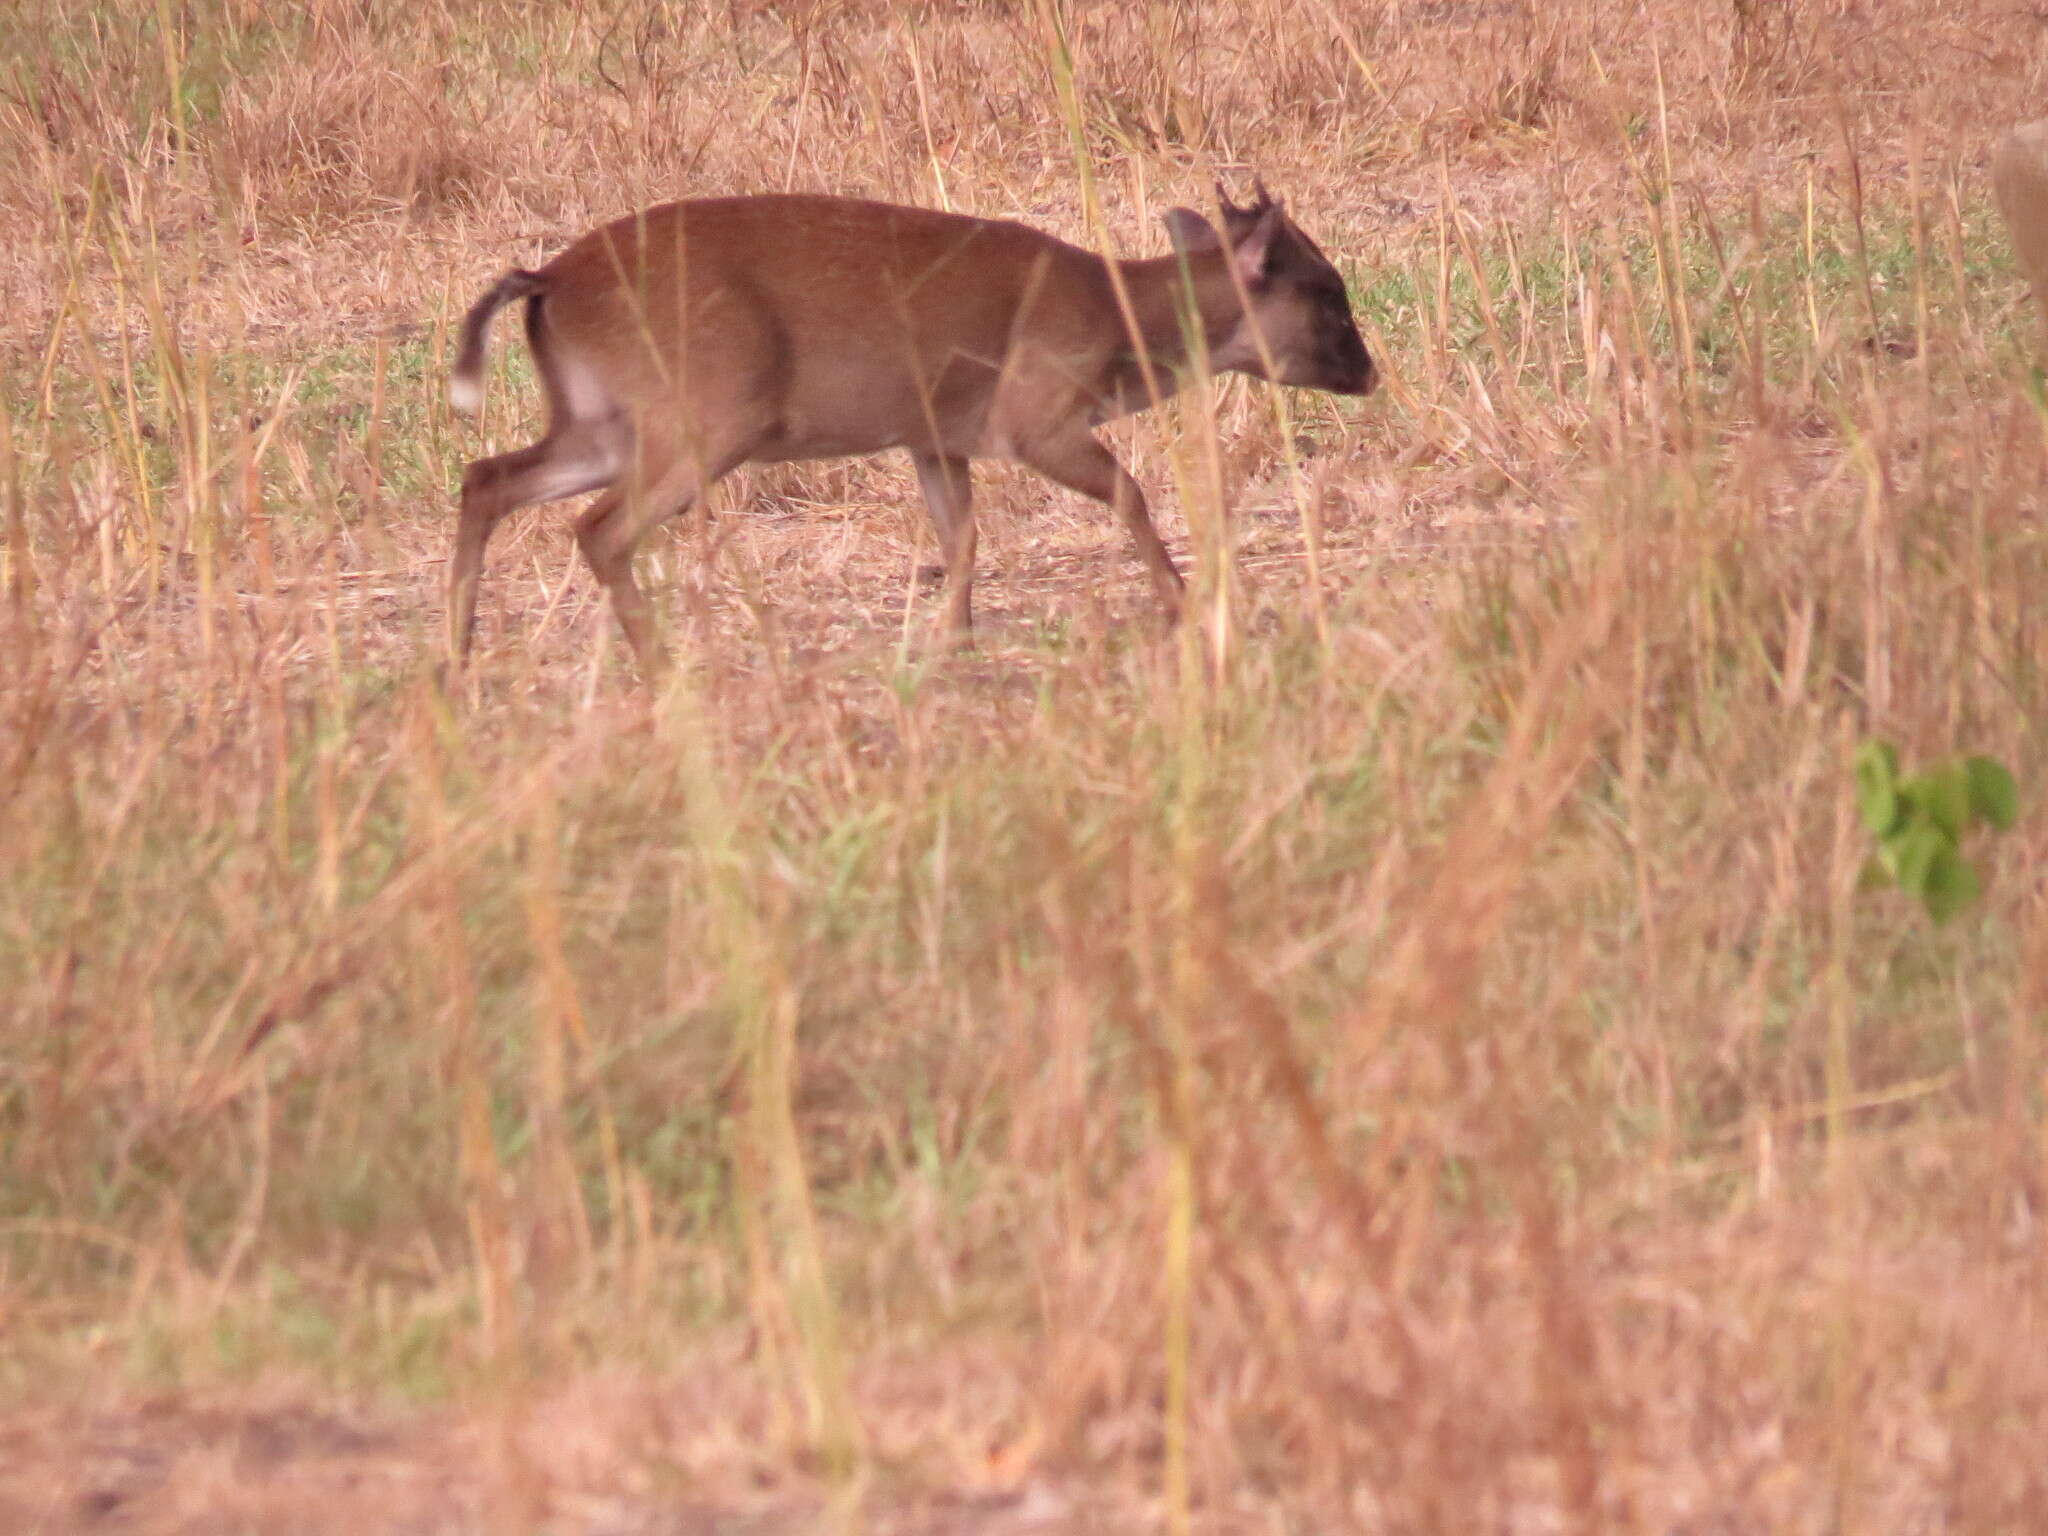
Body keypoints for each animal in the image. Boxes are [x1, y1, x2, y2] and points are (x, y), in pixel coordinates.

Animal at [448, 182, 1376, 671]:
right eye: (1328, 290)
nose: (1368, 373)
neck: (1120, 327)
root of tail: (548, 281)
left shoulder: (936, 434)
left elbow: (961, 534)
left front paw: (950, 637)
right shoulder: (1035, 413)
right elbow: (1129, 495)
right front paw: (1182, 603)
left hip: (600, 420)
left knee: (487, 477)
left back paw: (455, 657)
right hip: (706, 411)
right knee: (598, 528)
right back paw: (660, 663)